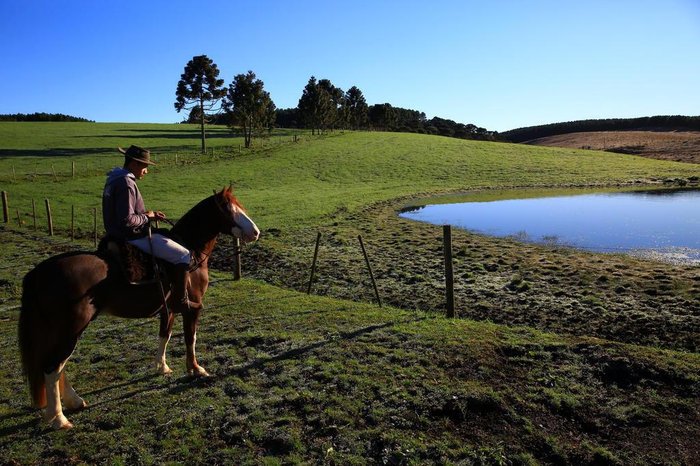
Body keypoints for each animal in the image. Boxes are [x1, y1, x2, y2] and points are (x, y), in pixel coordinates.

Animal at [18, 187, 260, 430]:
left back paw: (74, 402)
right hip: (70, 331)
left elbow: (165, 335)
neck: (191, 250)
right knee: (53, 368)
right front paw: (195, 369)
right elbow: (190, 338)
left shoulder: (168, 310)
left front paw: (162, 367)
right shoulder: (191, 309)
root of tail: (39, 273)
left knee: (59, 367)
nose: (255, 232)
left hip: (62, 333)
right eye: (228, 208)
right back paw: (59, 418)